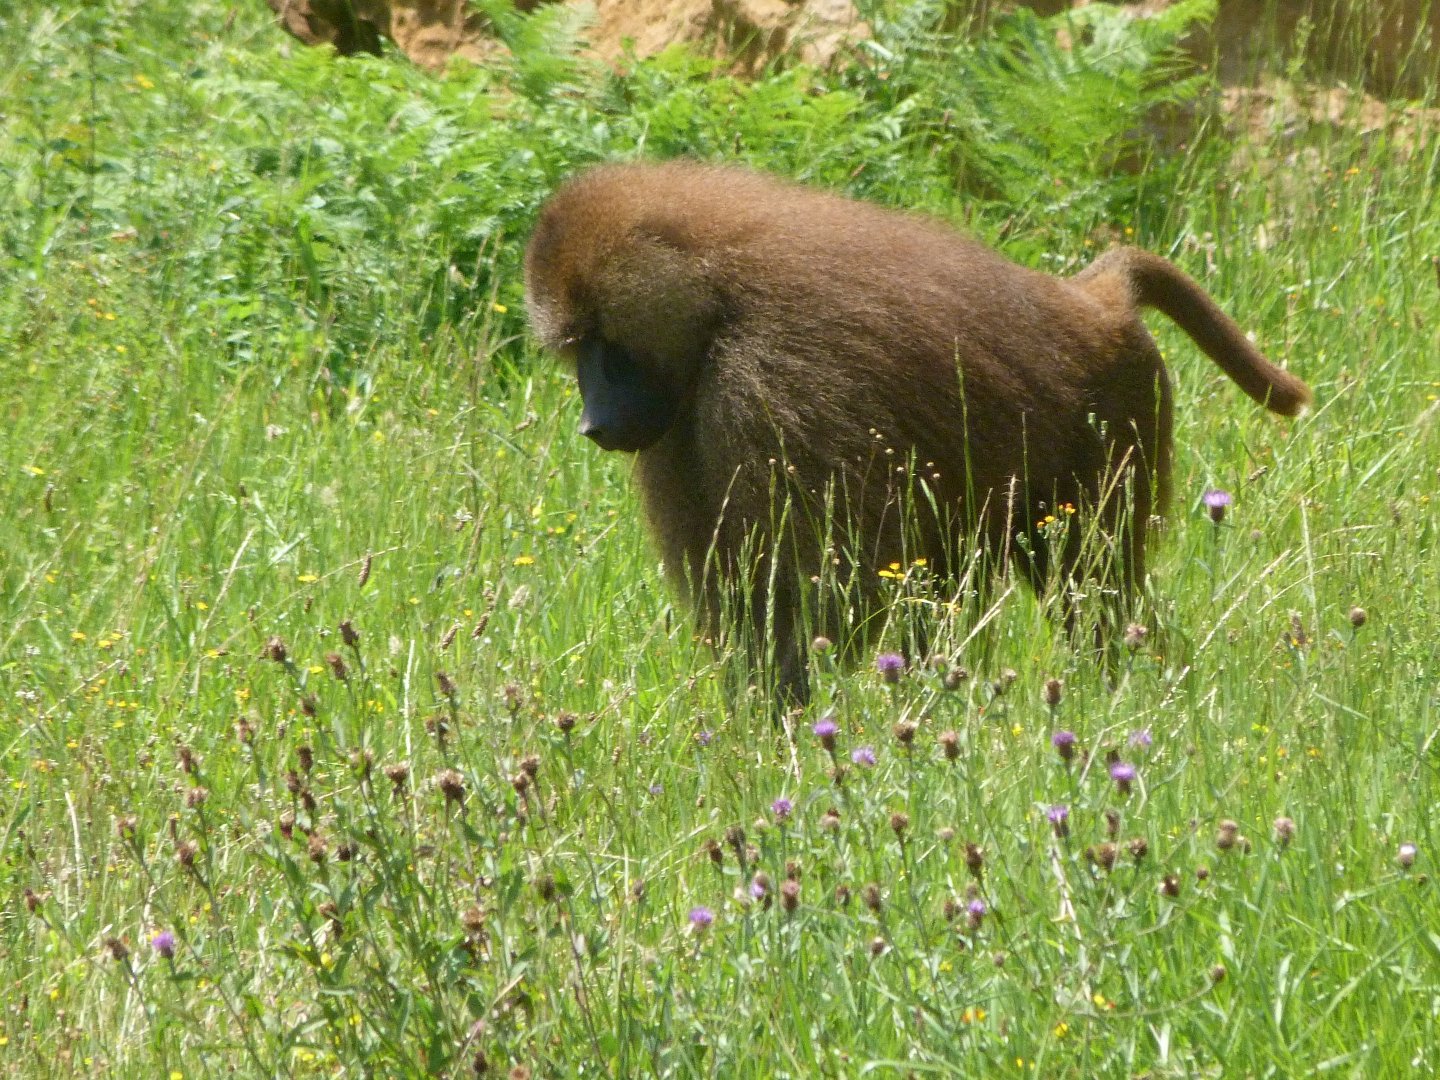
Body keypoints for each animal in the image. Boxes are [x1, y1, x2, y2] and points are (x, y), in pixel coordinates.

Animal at [523, 160, 1312, 706]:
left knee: (1094, 589)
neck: (715, 305)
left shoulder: (771, 390)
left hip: (1117, 429)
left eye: (606, 347)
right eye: (579, 350)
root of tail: (1095, 302)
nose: (593, 424)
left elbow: (835, 586)